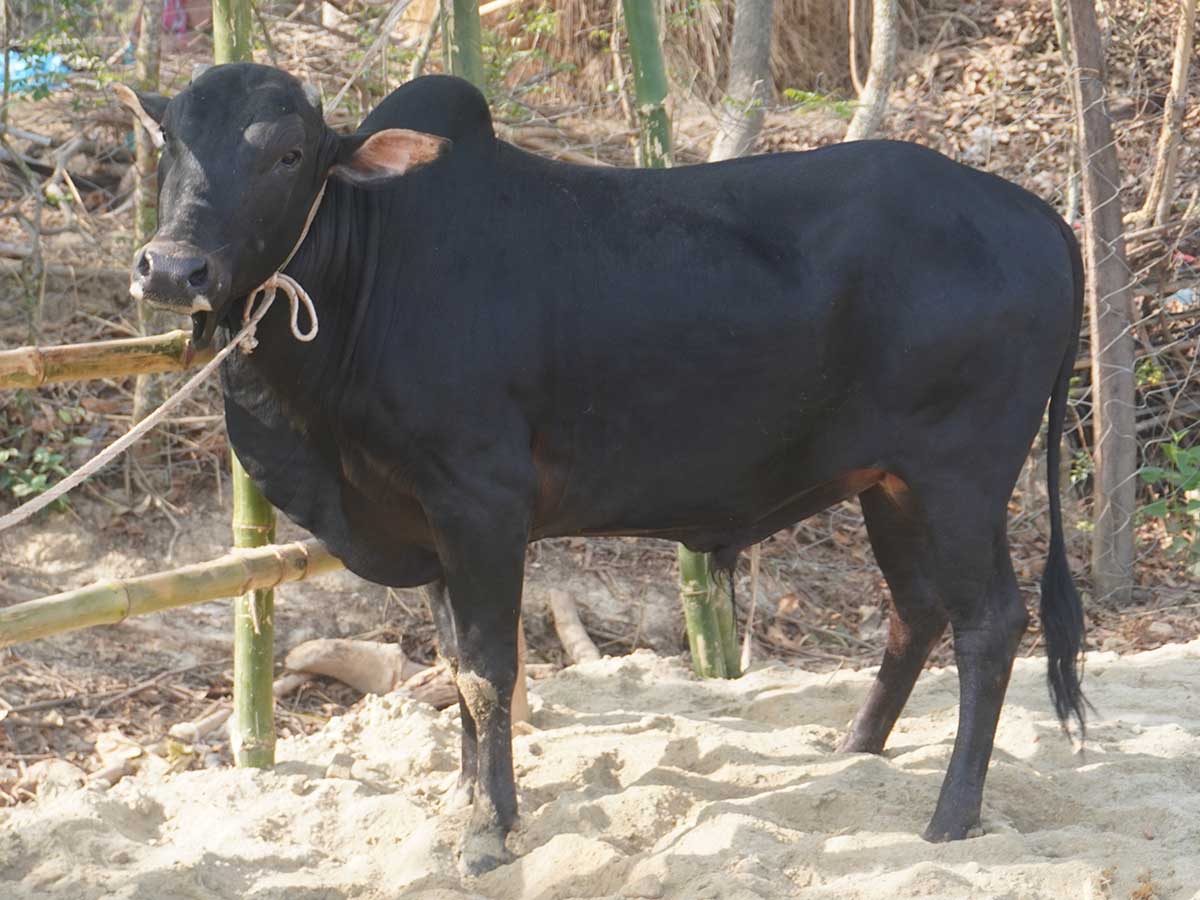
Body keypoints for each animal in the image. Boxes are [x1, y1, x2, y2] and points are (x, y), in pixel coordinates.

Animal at [116, 63, 1086, 875]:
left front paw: (487, 832)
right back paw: (856, 754)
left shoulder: (479, 501)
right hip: (891, 485)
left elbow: (487, 671)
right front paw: (469, 801)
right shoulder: (422, 520)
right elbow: (456, 666)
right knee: (916, 612)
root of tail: (1036, 214)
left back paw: (950, 818)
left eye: (287, 153)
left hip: (962, 477)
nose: (172, 267)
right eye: (171, 145)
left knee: (990, 625)